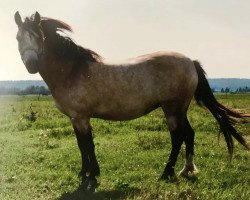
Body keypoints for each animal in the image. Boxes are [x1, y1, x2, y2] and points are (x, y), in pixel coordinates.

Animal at [14, 11, 249, 190]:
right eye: (18, 37)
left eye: (39, 36)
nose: (31, 65)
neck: (73, 70)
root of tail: (190, 61)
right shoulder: (75, 119)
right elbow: (82, 145)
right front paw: (84, 173)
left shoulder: (81, 117)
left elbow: (88, 145)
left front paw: (92, 176)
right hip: (180, 109)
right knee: (189, 134)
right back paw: (186, 170)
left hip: (172, 109)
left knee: (177, 138)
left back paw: (166, 173)